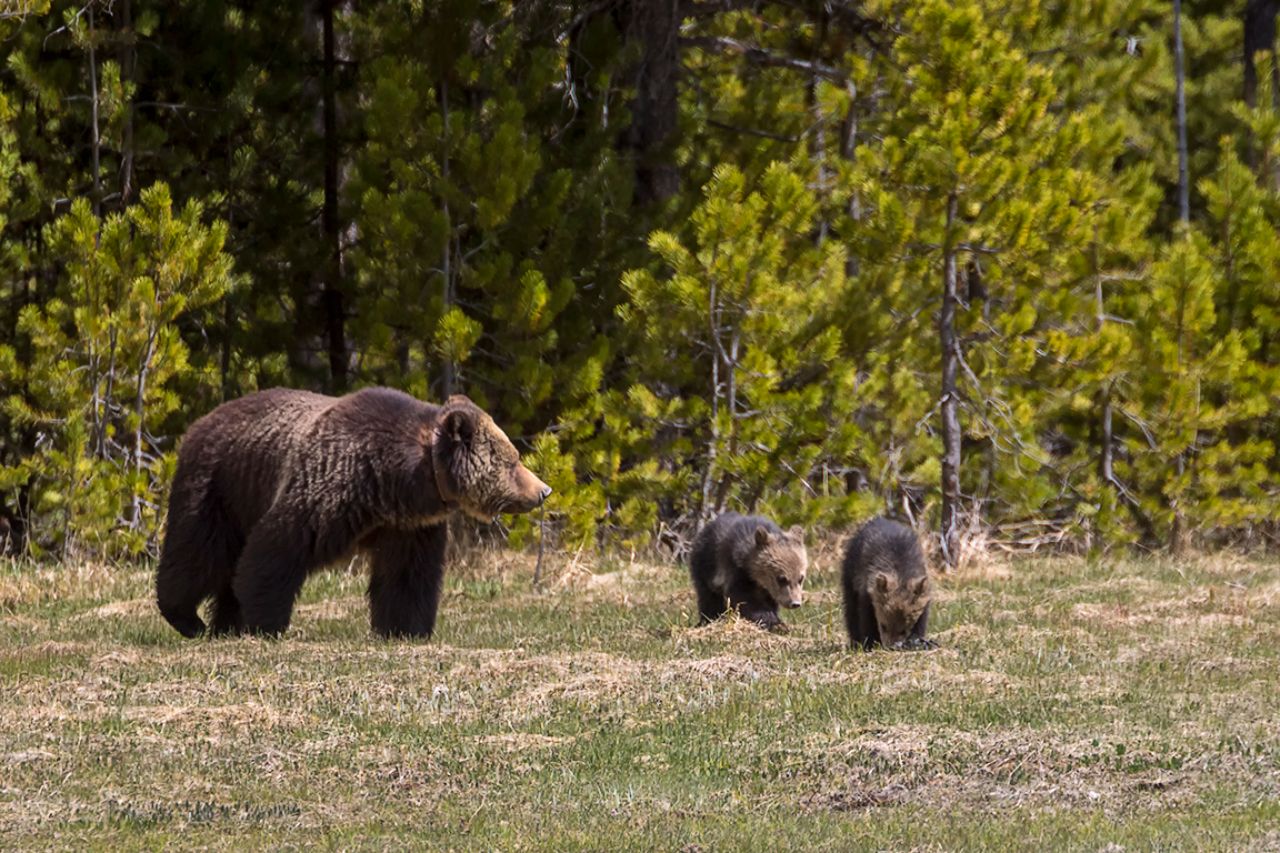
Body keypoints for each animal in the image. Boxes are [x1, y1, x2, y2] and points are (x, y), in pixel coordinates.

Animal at [155, 387, 551, 639]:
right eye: (513, 459)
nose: (543, 490)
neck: (395, 481)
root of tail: (199, 422)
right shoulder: (327, 488)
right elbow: (276, 549)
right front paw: (265, 622)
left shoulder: (408, 525)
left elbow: (407, 577)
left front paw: (406, 629)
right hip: (219, 486)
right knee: (198, 552)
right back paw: (187, 619)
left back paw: (223, 624)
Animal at [841, 517, 935, 650]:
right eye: (883, 625)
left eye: (903, 630)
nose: (891, 646)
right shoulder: (867, 595)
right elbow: (865, 619)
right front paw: (869, 643)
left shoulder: (923, 597)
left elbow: (921, 621)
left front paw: (918, 640)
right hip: (849, 574)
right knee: (851, 609)